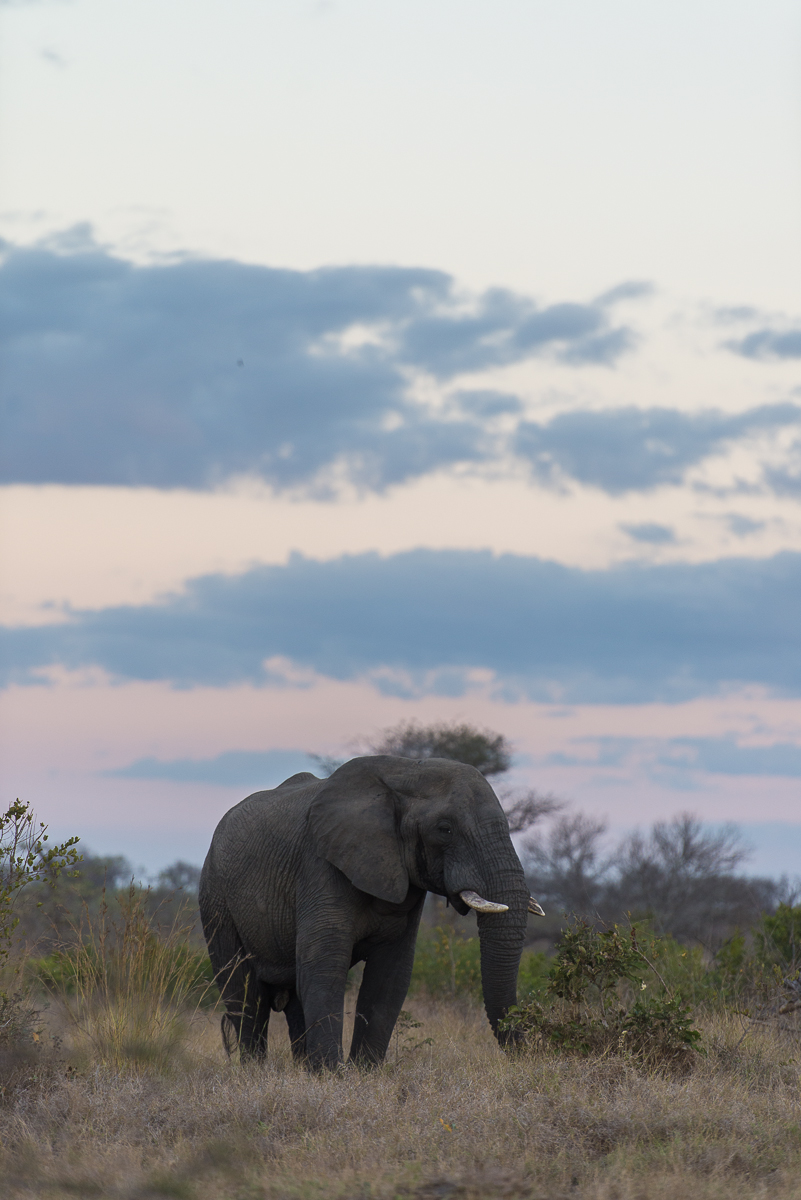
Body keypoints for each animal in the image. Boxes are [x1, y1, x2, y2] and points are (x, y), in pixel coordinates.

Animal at [199, 754, 544, 1068]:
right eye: (445, 829)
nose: (527, 1053)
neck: (406, 771)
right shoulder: (320, 864)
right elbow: (324, 965)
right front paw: (330, 1076)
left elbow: (391, 974)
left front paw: (362, 1073)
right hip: (215, 899)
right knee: (244, 994)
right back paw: (256, 1072)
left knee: (292, 998)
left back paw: (301, 1070)